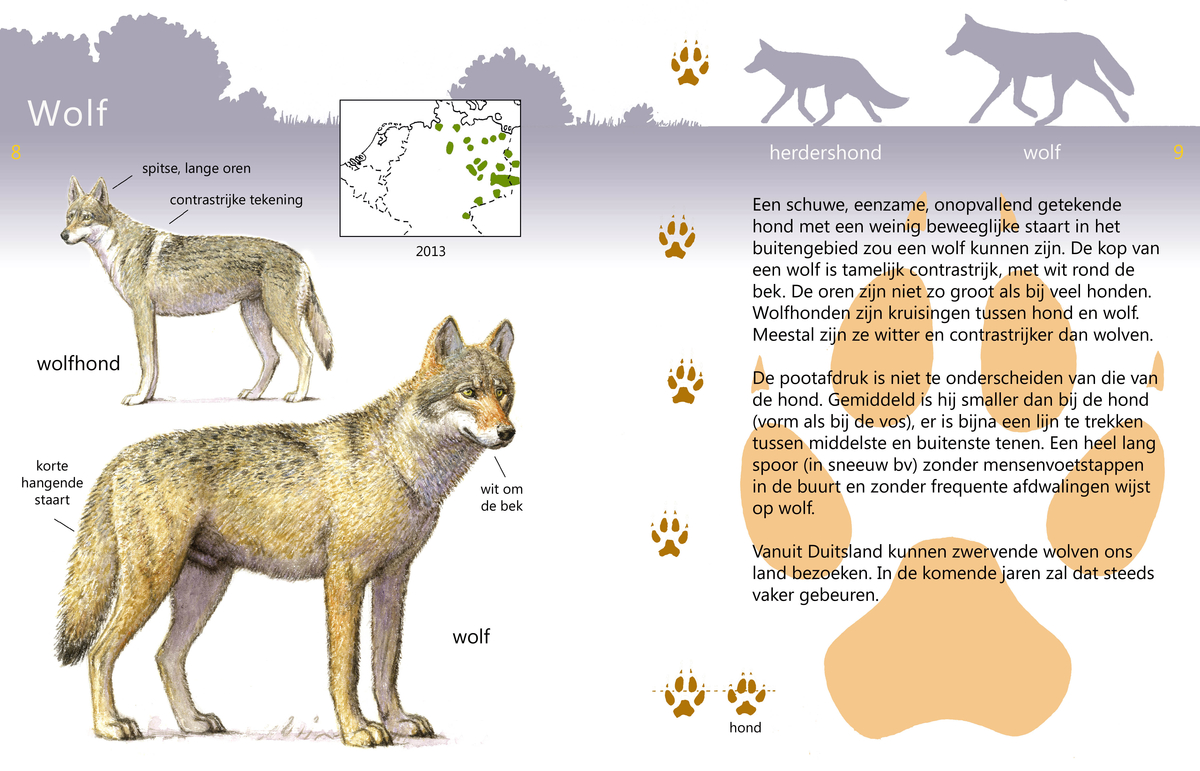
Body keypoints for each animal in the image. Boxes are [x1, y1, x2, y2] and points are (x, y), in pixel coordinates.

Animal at [55, 316, 515, 747]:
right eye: (468, 393)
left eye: (502, 393)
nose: (507, 432)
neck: (400, 461)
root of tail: (121, 458)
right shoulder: (344, 578)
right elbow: (345, 667)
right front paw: (356, 730)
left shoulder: (393, 578)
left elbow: (385, 666)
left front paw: (397, 722)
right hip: (153, 585)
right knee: (100, 652)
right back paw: (109, 725)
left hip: (202, 590)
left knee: (165, 656)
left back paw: (191, 723)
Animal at [61, 176, 333, 404]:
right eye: (70, 216)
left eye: (87, 217)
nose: (63, 235)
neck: (119, 245)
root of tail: (299, 258)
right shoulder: (148, 317)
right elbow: (155, 365)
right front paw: (148, 397)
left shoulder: (141, 312)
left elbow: (146, 363)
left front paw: (138, 398)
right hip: (254, 319)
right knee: (272, 357)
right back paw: (255, 394)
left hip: (279, 319)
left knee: (306, 355)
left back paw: (298, 395)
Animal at [744, 40, 908, 126]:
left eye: (757, 60)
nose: (745, 68)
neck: (783, 64)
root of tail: (857, 63)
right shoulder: (800, 88)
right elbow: (800, 106)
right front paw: (810, 117)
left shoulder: (791, 89)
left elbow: (777, 105)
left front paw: (765, 118)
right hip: (849, 92)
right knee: (864, 101)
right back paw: (876, 118)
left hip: (830, 91)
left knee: (833, 112)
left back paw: (818, 124)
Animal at [945, 15, 1134, 126]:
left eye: (959, 38)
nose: (947, 51)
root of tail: (1090, 37)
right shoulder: (1017, 77)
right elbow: (1015, 100)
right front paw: (1031, 113)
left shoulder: (1009, 78)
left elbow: (992, 99)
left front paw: (975, 117)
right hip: (1064, 81)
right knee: (1059, 110)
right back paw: (1043, 121)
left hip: (1076, 78)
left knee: (1107, 90)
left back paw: (1123, 116)